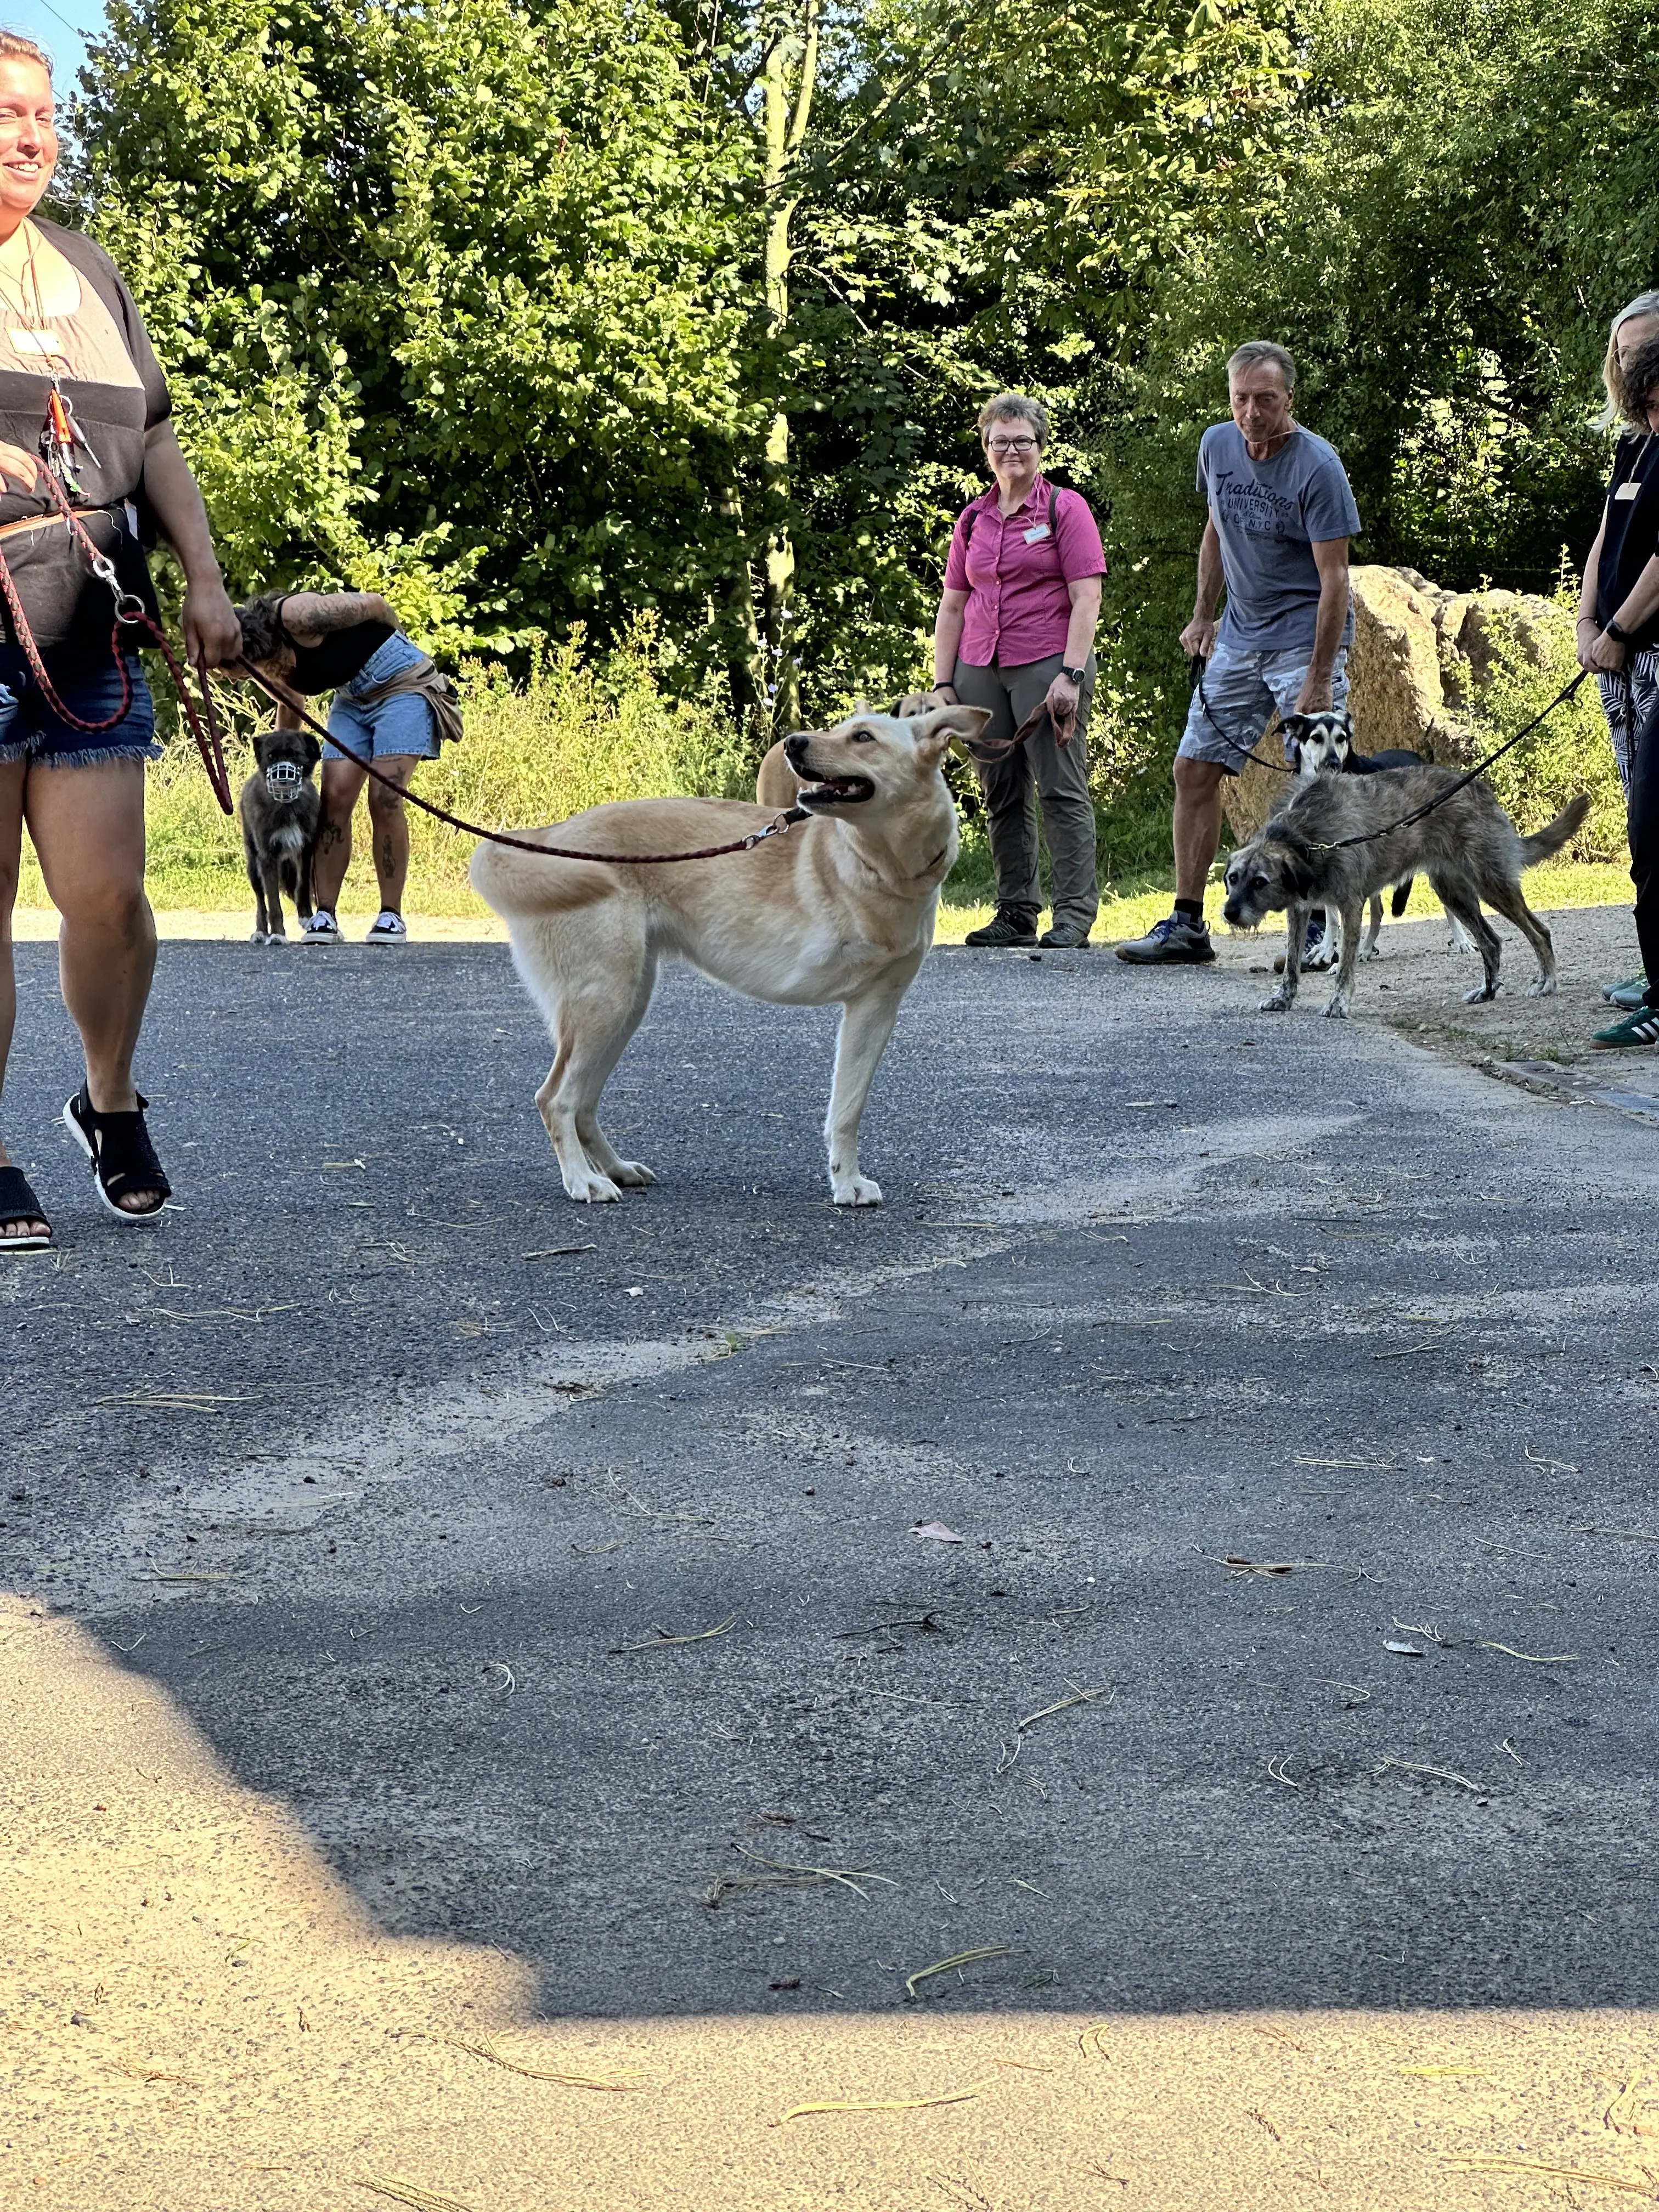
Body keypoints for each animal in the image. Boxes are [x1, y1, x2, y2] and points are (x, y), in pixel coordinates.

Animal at [239, 716, 323, 942]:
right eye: (271, 756)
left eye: (294, 754)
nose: (282, 776)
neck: (287, 804)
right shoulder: (267, 858)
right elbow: (273, 903)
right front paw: (277, 934)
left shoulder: (305, 851)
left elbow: (302, 887)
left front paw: (306, 916)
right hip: (253, 867)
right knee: (261, 902)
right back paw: (261, 931)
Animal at [469, 699, 986, 1203]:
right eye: (842, 730)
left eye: (863, 737)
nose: (793, 743)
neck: (883, 868)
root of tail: (551, 836)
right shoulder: (867, 1006)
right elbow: (847, 1109)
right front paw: (848, 1185)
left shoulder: (876, 1008)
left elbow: (847, 1109)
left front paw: (846, 1181)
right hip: (603, 1003)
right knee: (555, 1099)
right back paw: (583, 1181)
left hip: (626, 1005)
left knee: (583, 1104)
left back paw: (617, 1170)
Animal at [1221, 770, 1601, 1017]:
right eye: (1232, 879)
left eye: (1260, 882)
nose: (1228, 913)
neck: (1306, 839)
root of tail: (1481, 791)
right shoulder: (1299, 910)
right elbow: (1291, 966)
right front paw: (1283, 999)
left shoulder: (1350, 905)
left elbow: (1346, 967)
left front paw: (1339, 1003)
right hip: (1453, 893)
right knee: (1492, 942)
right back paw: (1488, 991)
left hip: (1492, 885)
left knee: (1540, 932)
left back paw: (1547, 981)